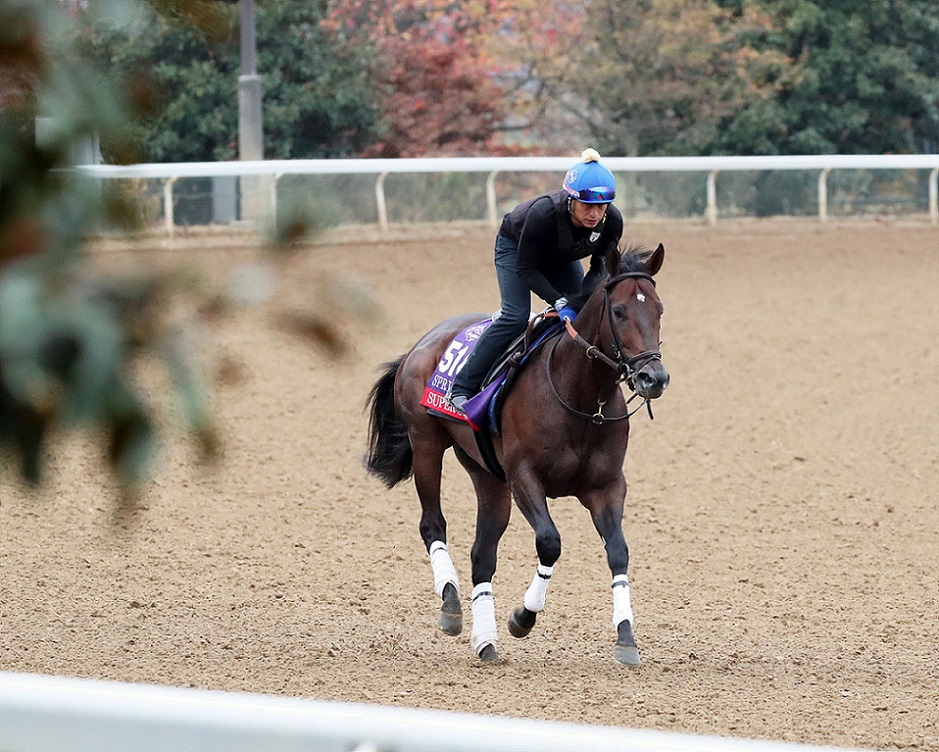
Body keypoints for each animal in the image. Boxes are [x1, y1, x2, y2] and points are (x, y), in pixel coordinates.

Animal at [364, 243, 668, 665]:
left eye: (658, 309)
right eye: (620, 311)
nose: (654, 378)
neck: (580, 395)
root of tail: (420, 344)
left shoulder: (607, 486)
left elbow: (618, 552)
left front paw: (625, 637)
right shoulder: (524, 477)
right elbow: (550, 542)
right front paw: (523, 617)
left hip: (487, 475)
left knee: (482, 554)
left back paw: (485, 641)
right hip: (426, 444)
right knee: (432, 525)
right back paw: (451, 606)